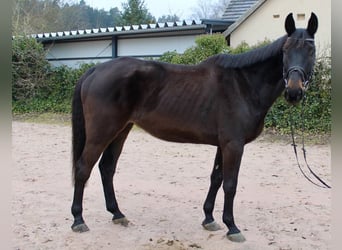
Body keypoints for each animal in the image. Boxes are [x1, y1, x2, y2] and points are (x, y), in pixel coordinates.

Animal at [70, 12, 318, 242]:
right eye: (285, 51)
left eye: (311, 51)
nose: (294, 92)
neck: (243, 85)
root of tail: (95, 70)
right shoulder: (234, 145)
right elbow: (230, 184)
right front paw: (232, 227)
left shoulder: (223, 144)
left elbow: (216, 178)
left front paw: (209, 219)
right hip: (102, 132)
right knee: (83, 168)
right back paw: (78, 220)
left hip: (121, 130)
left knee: (107, 168)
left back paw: (117, 214)